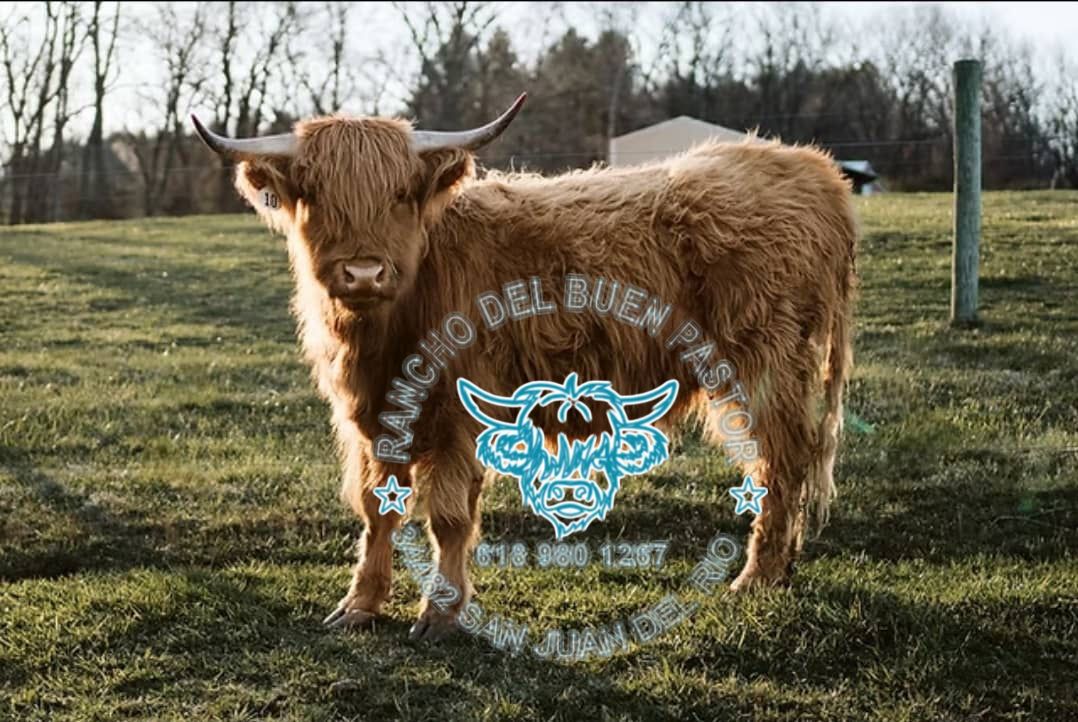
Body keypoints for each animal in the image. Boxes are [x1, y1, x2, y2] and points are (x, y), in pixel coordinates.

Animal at [192, 94, 857, 641]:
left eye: (401, 194)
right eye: (316, 193)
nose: (362, 272)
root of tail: (808, 167)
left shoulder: (458, 408)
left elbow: (449, 517)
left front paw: (441, 615)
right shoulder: (374, 413)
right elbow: (376, 507)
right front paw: (360, 605)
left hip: (765, 367)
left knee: (780, 463)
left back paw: (757, 576)